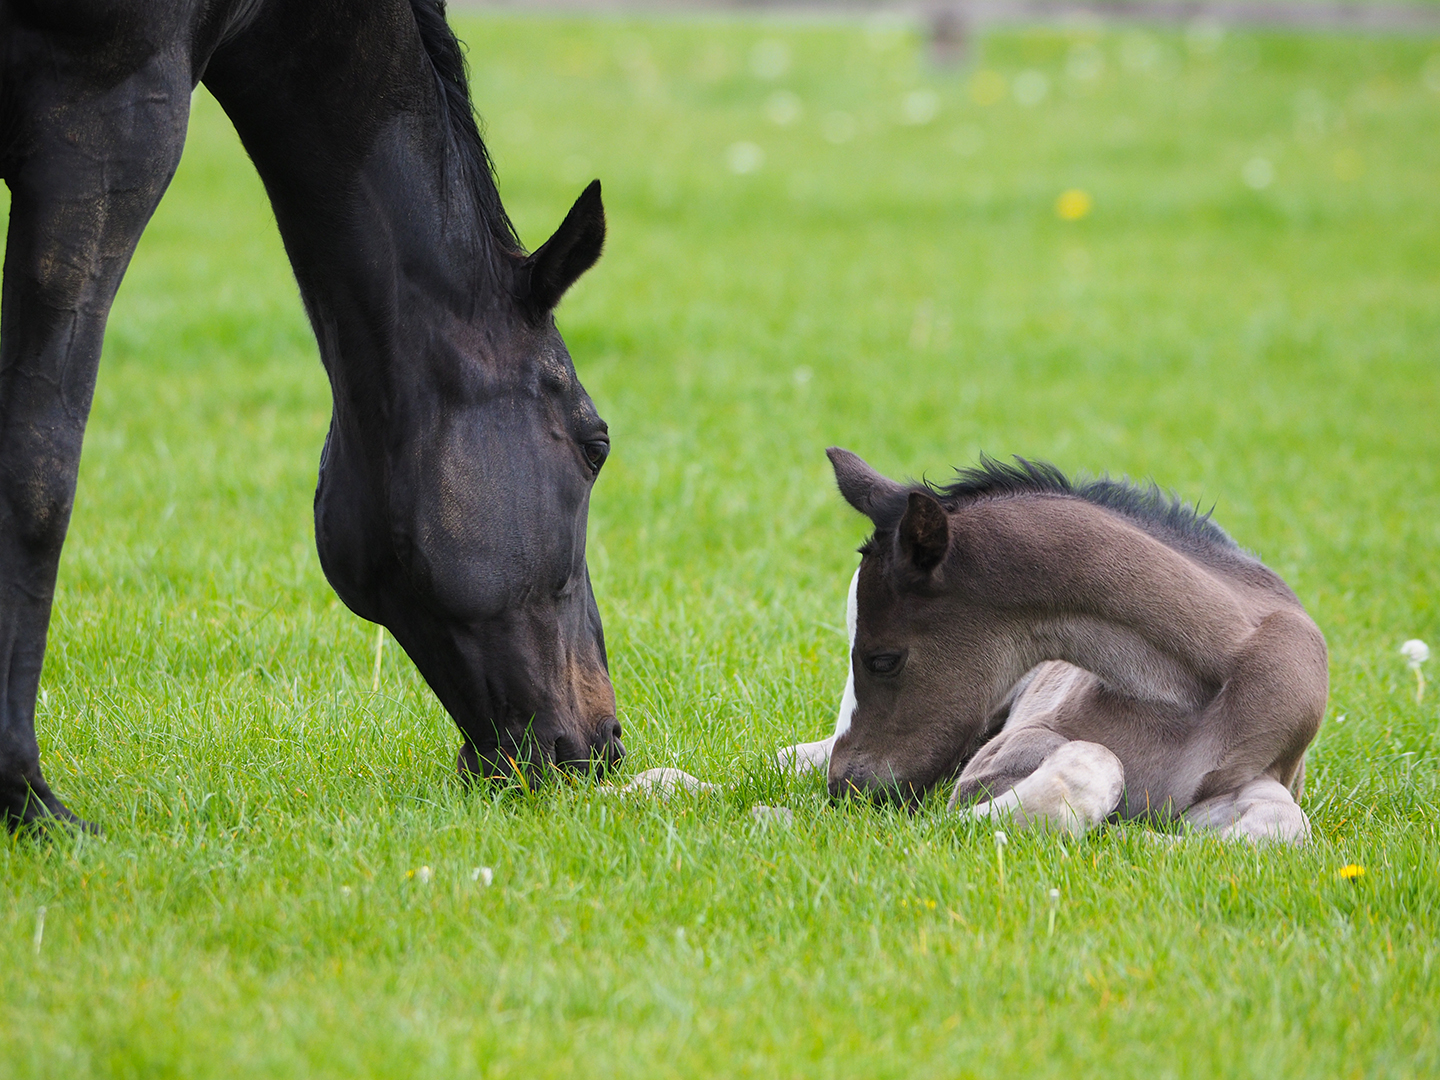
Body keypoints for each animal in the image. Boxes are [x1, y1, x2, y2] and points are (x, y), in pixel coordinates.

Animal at [783, 449, 1330, 846]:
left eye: (884, 660)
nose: (846, 786)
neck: (1187, 693)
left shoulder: (1261, 773)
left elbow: (1284, 826)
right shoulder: (995, 758)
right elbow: (1089, 762)